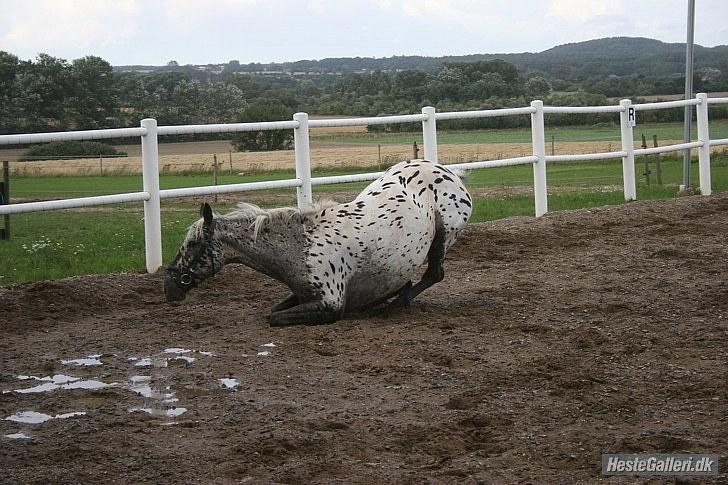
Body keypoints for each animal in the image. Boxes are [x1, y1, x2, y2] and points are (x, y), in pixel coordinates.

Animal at [164, 160, 472, 326]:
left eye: (193, 244)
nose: (169, 287)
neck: (301, 246)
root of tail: (451, 172)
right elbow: (274, 310)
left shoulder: (329, 303)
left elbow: (274, 317)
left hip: (444, 236)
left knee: (434, 274)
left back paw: (394, 304)